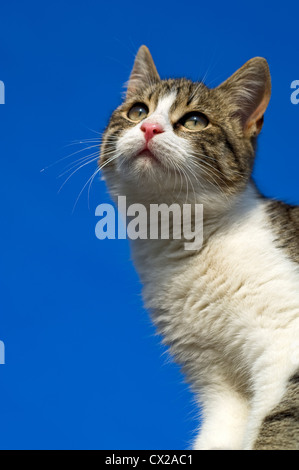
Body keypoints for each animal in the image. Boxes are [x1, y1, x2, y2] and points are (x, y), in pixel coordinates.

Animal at [99, 46, 299, 450]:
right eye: (138, 111)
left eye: (194, 121)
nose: (149, 128)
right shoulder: (217, 382)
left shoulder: (287, 337)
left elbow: (280, 418)